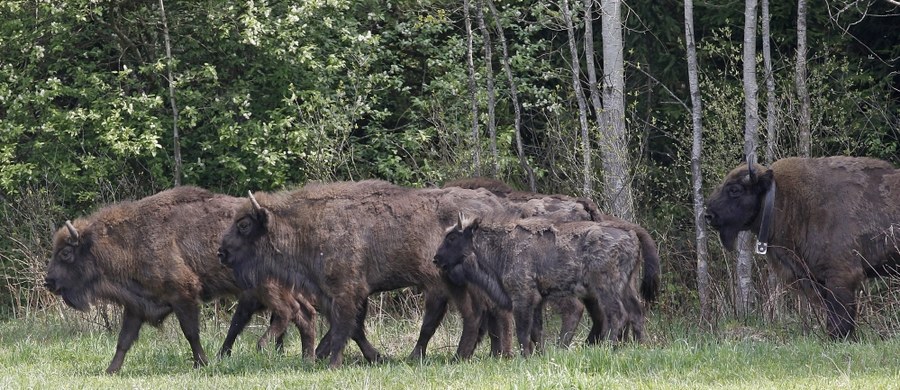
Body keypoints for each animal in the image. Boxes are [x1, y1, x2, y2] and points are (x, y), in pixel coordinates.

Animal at [218, 180, 510, 366]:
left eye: (244, 225)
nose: (222, 252)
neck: (306, 226)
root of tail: (493, 205)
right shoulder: (331, 293)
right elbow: (353, 329)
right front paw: (377, 357)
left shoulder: (347, 290)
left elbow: (344, 327)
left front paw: (333, 363)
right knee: (488, 313)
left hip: (453, 282)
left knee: (475, 315)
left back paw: (461, 357)